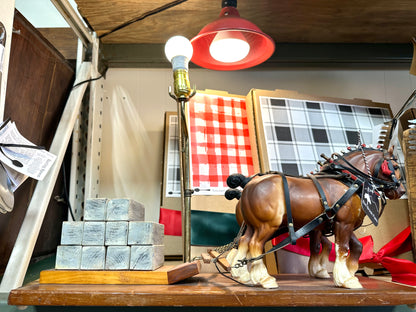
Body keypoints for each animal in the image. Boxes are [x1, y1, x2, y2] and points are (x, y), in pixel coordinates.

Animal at [226, 147, 404, 288]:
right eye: (394, 167)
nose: (401, 190)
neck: (347, 181)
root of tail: (249, 183)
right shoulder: (343, 223)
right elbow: (342, 248)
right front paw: (345, 279)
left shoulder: (338, 224)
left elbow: (354, 246)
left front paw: (349, 272)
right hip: (267, 225)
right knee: (255, 244)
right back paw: (264, 279)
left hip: (252, 226)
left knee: (243, 242)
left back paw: (244, 275)